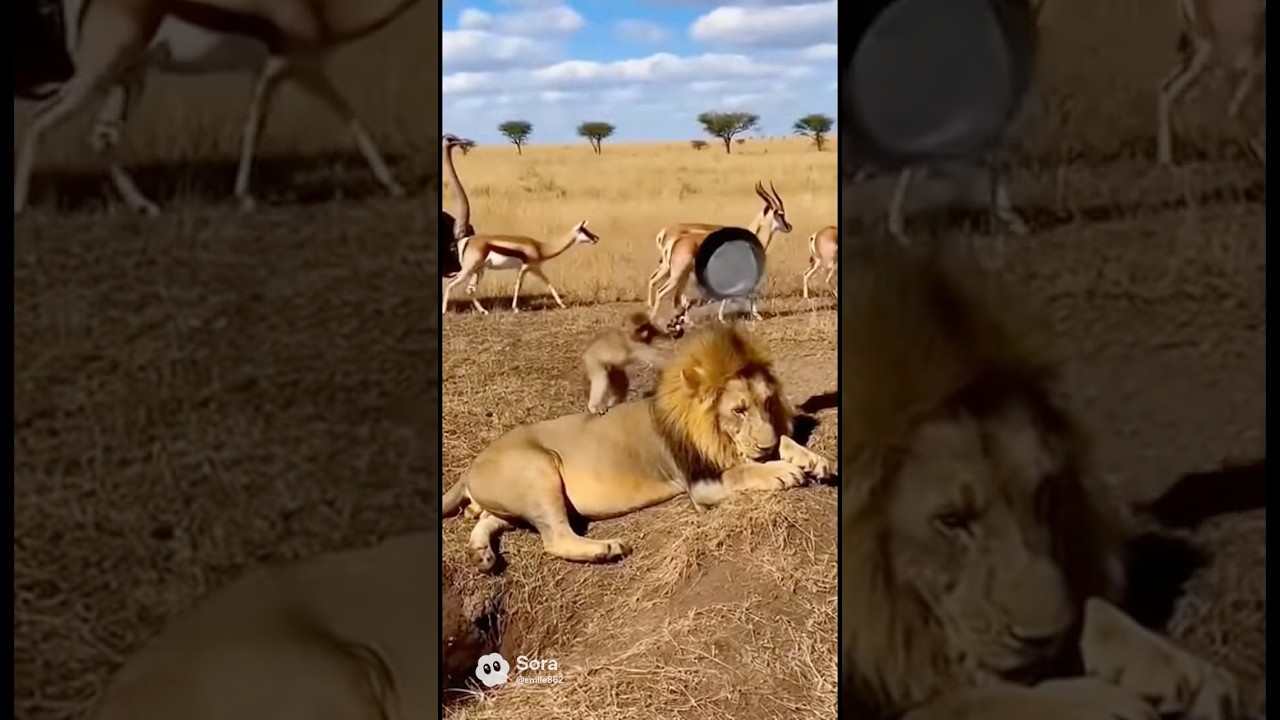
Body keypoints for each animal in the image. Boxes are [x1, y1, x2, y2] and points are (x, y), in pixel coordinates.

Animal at [443, 322, 834, 572]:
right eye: (738, 410)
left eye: (767, 403)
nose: (765, 446)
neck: (712, 430)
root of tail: (472, 464)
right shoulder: (702, 485)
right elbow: (742, 470)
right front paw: (781, 471)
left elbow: (782, 441)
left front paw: (811, 459)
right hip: (539, 469)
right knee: (554, 538)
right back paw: (605, 549)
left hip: (515, 499)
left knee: (489, 520)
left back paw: (481, 555)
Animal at [838, 242, 1243, 720]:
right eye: (952, 521)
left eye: (1043, 495)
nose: (1046, 639)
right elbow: (973, 698)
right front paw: (1101, 703)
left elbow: (1091, 603)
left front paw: (1189, 676)